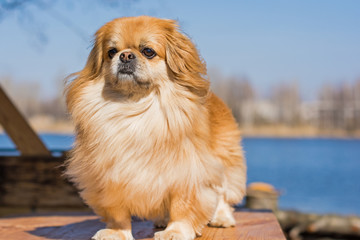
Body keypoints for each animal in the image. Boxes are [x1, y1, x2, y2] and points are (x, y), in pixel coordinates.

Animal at [64, 15, 246, 239]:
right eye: (111, 52)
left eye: (148, 51)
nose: (125, 55)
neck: (135, 106)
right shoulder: (109, 175)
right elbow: (117, 212)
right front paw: (116, 232)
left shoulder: (189, 172)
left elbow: (182, 206)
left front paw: (176, 231)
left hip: (223, 162)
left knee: (222, 193)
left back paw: (221, 218)